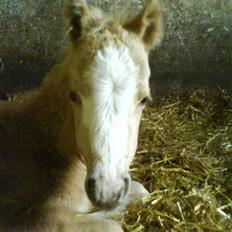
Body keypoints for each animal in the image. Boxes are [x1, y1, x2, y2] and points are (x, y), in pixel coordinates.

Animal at [0, 0, 163, 231]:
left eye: (144, 99)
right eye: (73, 95)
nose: (106, 191)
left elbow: (143, 191)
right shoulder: (21, 218)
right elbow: (111, 225)